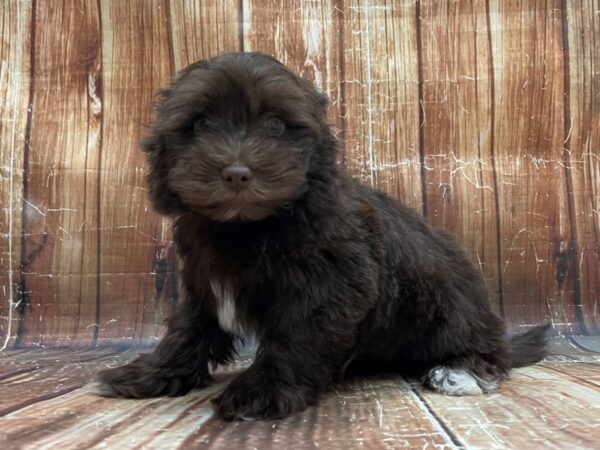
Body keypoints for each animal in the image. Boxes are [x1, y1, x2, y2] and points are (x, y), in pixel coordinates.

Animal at [96, 52, 552, 422]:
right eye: (202, 123)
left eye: (275, 124)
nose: (237, 172)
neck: (248, 226)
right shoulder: (204, 283)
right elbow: (188, 329)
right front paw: (150, 372)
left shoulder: (328, 286)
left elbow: (294, 337)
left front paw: (260, 391)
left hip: (451, 308)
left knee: (488, 350)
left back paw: (460, 371)